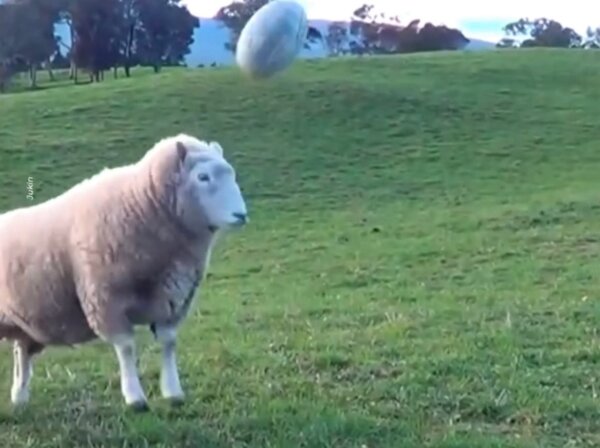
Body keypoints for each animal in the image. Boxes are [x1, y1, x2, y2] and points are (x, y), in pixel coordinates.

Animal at [0, 133, 248, 410]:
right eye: (203, 177)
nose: (241, 214)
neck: (143, 203)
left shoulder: (173, 300)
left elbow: (169, 343)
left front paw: (173, 392)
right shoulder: (106, 298)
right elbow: (127, 348)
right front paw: (135, 397)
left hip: (26, 325)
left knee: (21, 353)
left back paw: (19, 398)